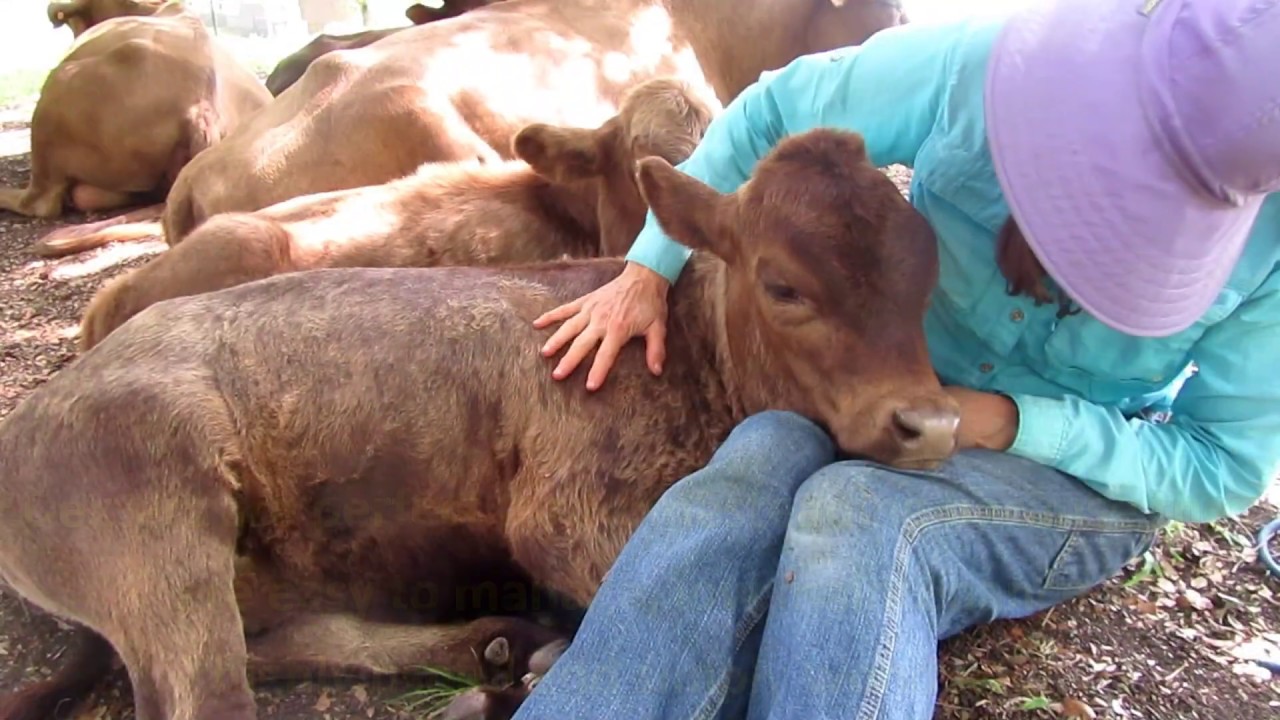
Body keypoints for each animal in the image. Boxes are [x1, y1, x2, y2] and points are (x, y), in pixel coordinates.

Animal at [0, 126, 958, 720]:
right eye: (784, 283)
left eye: (928, 277)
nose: (932, 422)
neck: (684, 347)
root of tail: (40, 405)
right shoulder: (562, 513)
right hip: (159, 519)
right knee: (208, 692)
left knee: (279, 639)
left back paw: (492, 651)